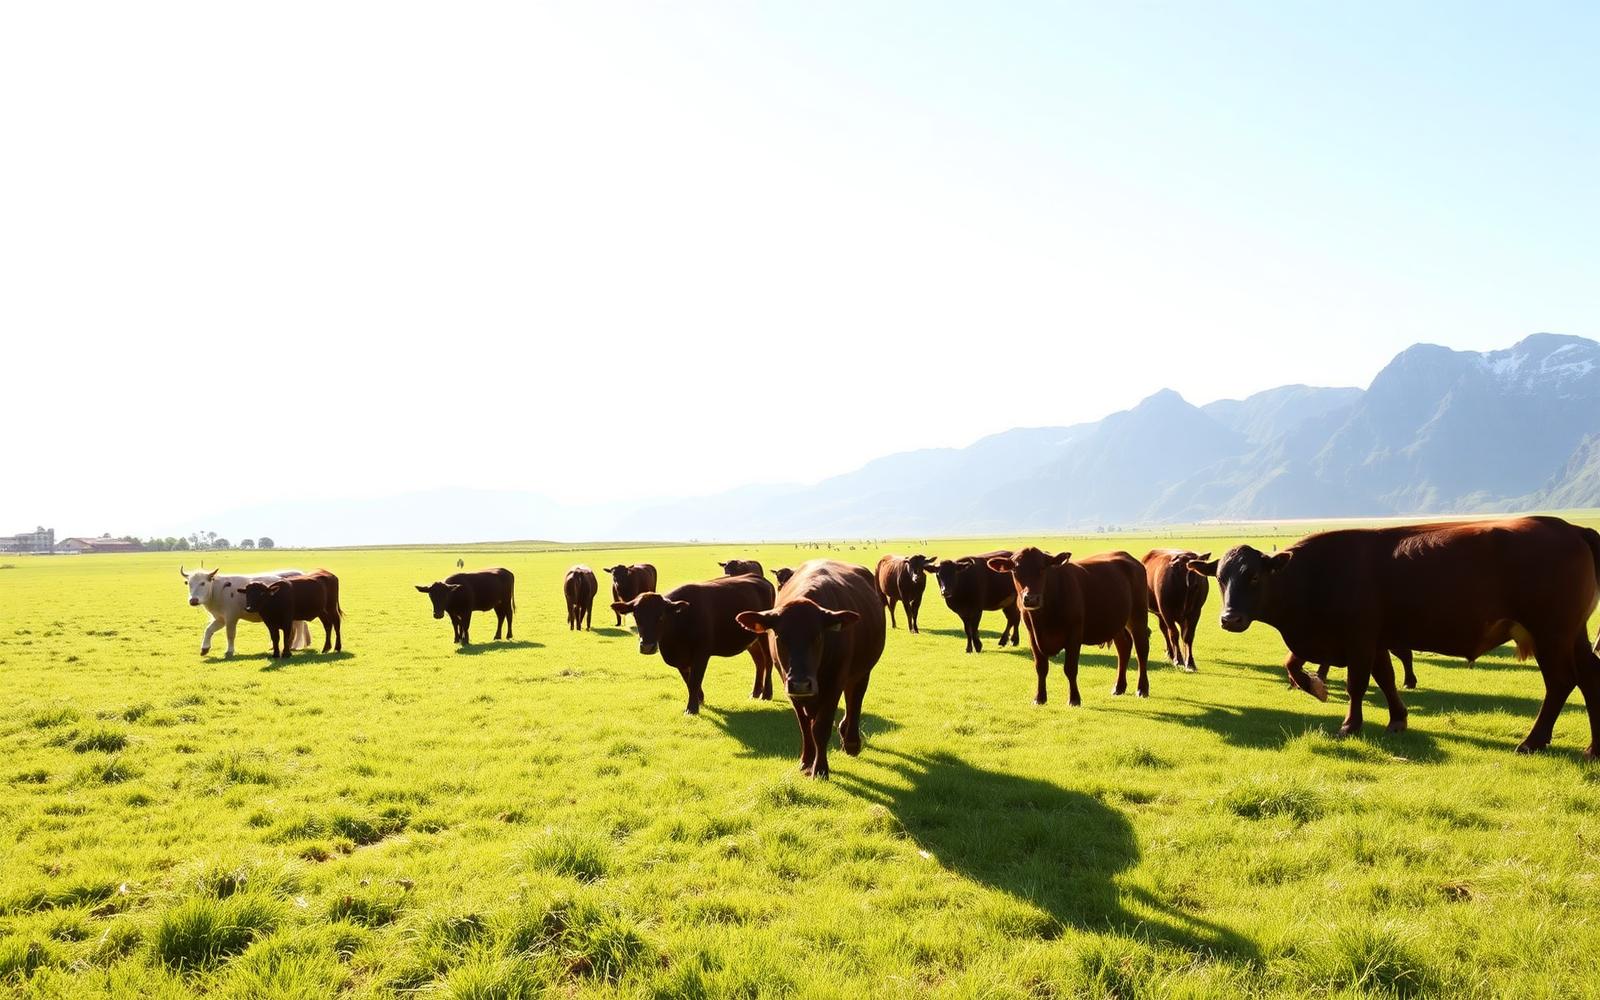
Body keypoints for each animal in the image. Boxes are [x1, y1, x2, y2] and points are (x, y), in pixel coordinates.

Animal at [182, 566, 311, 657]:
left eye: (203, 583)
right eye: (189, 583)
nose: (193, 600)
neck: (217, 590)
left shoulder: (231, 618)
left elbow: (230, 634)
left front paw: (229, 651)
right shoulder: (220, 619)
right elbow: (209, 630)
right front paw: (204, 648)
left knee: (298, 627)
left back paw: (295, 646)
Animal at [613, 574, 777, 714]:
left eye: (661, 616)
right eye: (636, 616)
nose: (647, 647)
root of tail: (760, 579)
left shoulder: (701, 653)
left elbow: (695, 680)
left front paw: (691, 708)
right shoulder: (680, 660)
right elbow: (688, 680)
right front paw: (699, 699)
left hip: (764, 635)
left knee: (768, 661)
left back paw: (766, 694)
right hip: (751, 640)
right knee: (759, 662)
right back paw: (755, 692)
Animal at [736, 559, 886, 779]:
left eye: (818, 636)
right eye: (780, 637)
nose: (801, 684)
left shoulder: (834, 684)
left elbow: (821, 728)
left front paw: (820, 768)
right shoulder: (790, 687)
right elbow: (806, 727)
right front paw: (806, 761)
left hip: (861, 672)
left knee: (854, 699)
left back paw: (851, 742)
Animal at [988, 548, 1151, 704]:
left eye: (1043, 568)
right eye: (1015, 571)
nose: (1031, 599)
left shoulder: (1074, 635)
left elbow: (1070, 668)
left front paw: (1074, 698)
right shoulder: (1032, 636)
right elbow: (1041, 667)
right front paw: (1039, 698)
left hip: (1138, 616)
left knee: (1142, 650)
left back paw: (1142, 689)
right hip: (1116, 623)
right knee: (1124, 648)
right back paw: (1119, 687)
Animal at [1197, 516, 1600, 756]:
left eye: (1253, 577)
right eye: (1220, 578)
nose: (1230, 618)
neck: (1314, 574)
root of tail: (1570, 528)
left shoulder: (1358, 638)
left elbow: (1357, 683)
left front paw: (1350, 724)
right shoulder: (1368, 641)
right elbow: (1375, 677)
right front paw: (1394, 717)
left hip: (1552, 634)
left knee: (1561, 682)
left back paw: (1533, 740)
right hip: (1573, 636)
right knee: (1589, 677)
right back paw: (1593, 748)